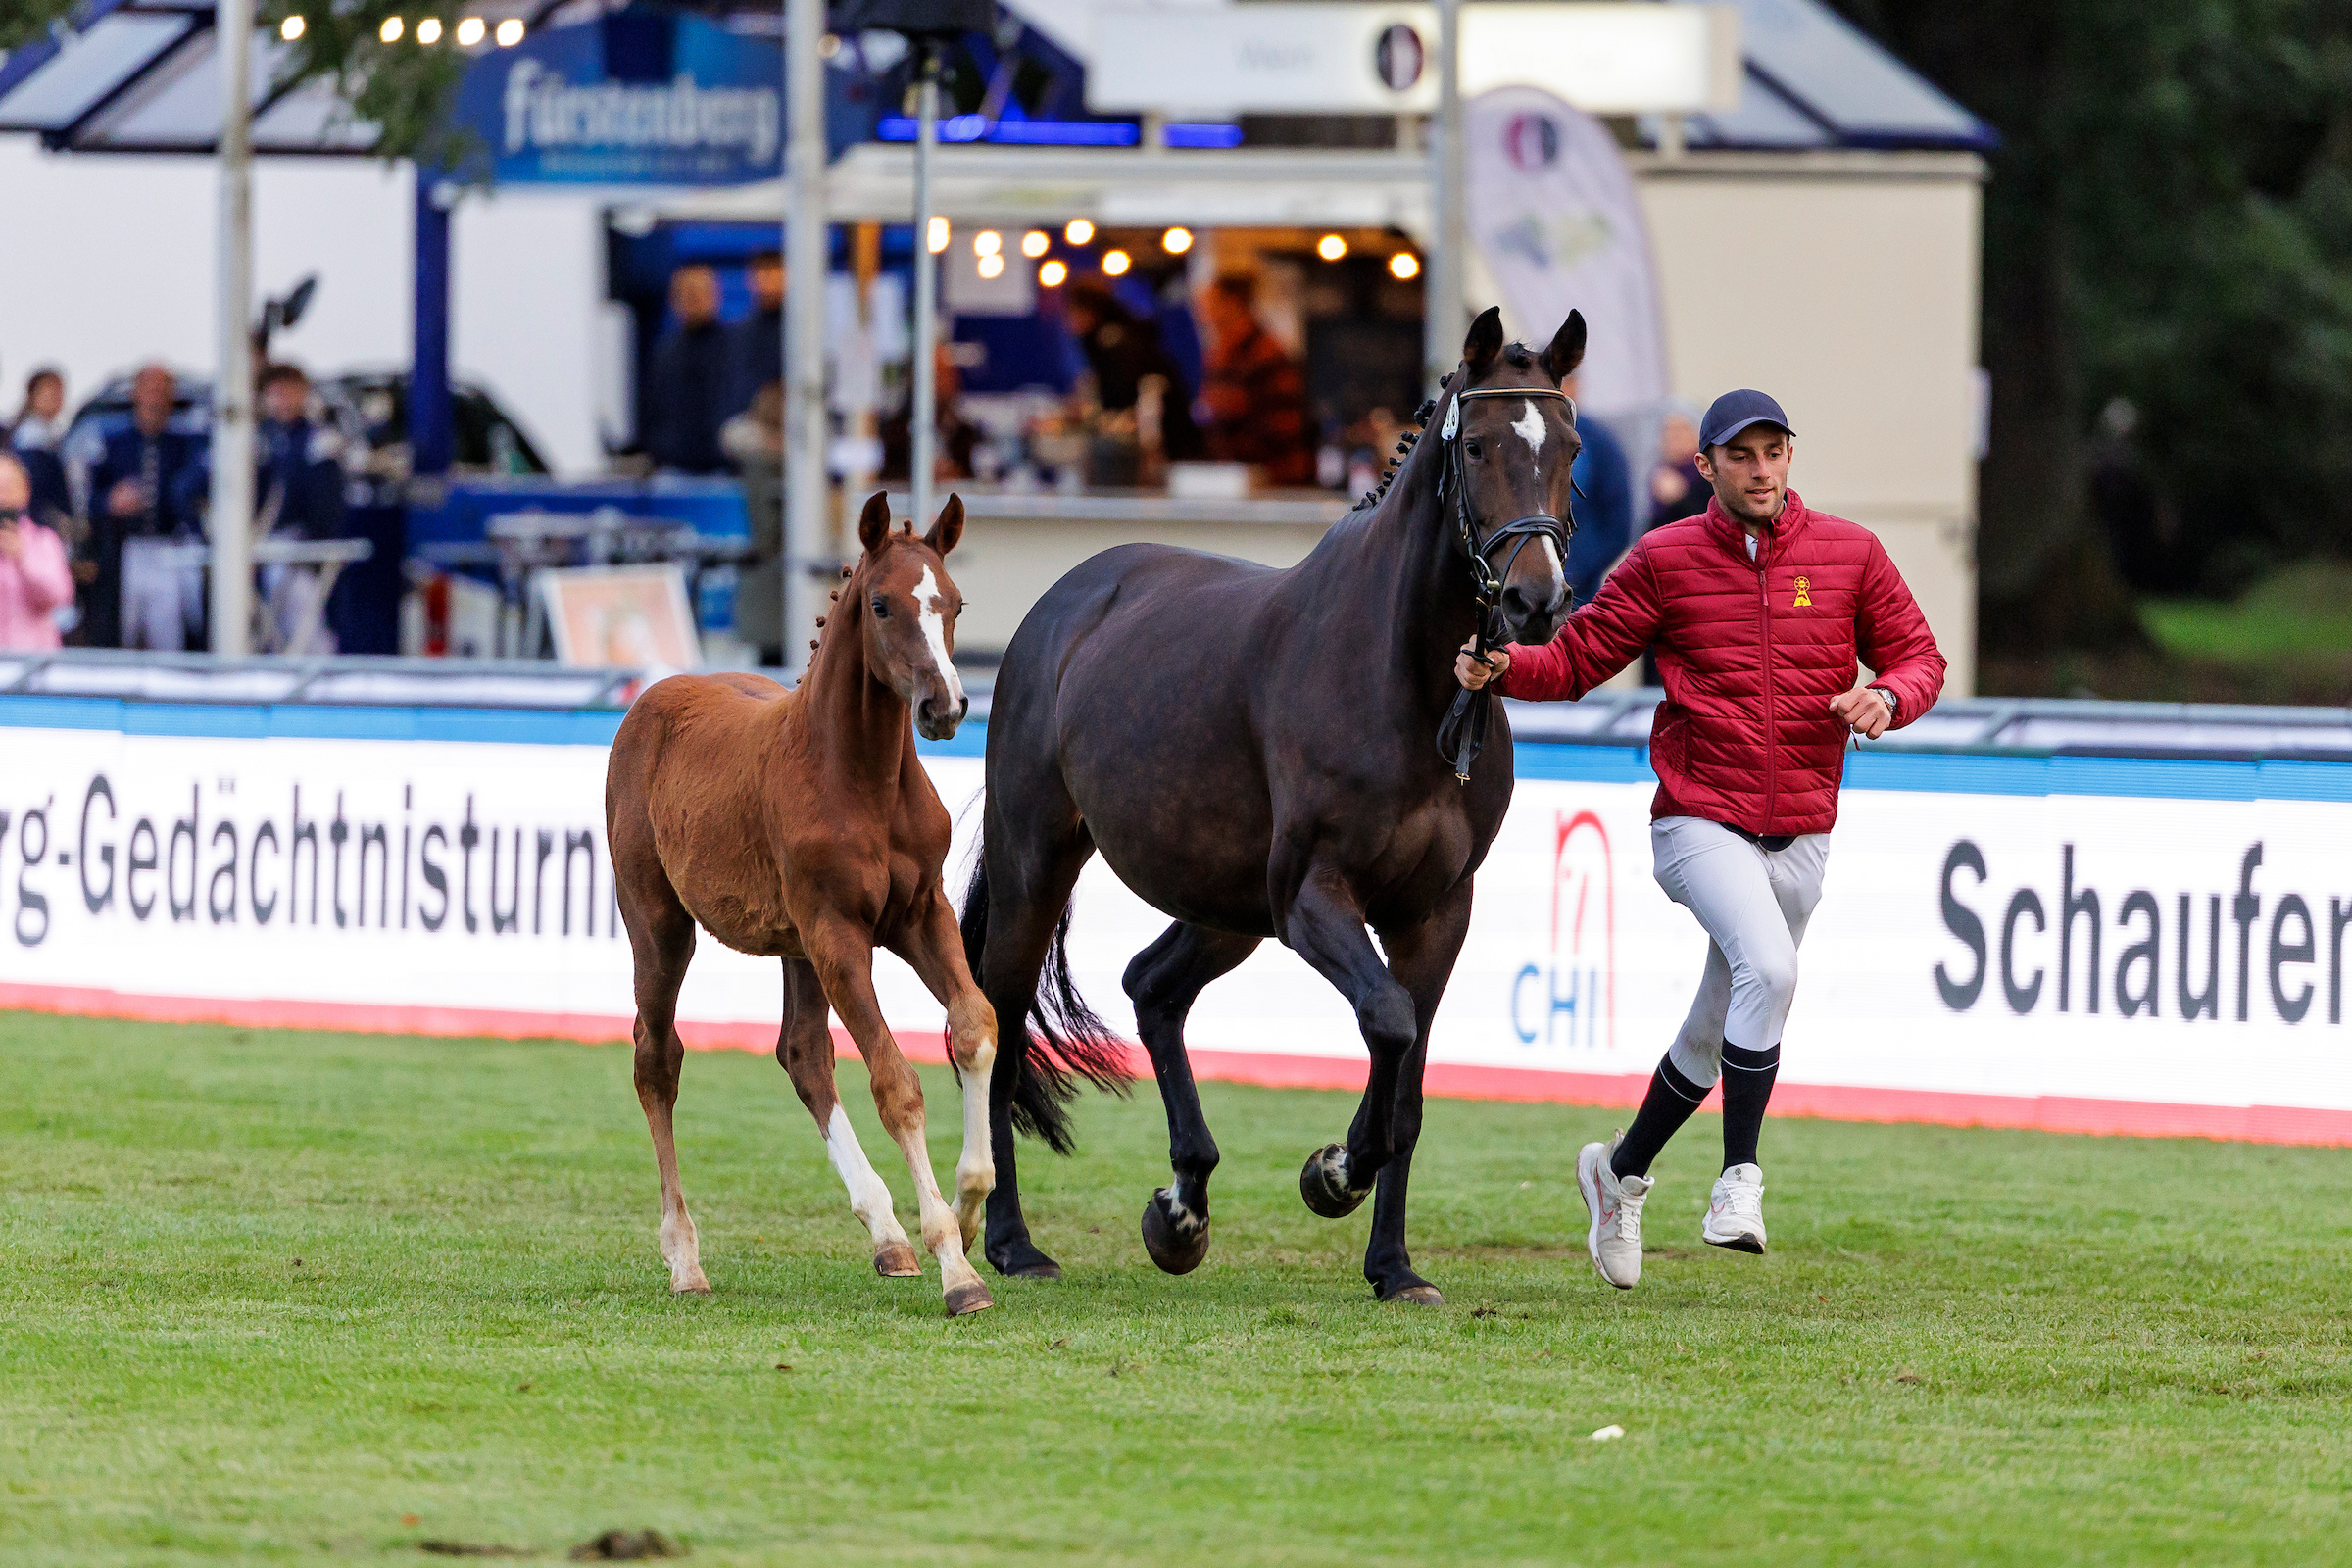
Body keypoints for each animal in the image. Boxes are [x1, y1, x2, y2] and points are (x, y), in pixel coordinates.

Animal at [602, 493, 997, 1316]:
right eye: (881, 605)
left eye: (954, 603)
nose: (945, 706)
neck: (860, 777)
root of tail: (652, 698)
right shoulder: (838, 933)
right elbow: (896, 1084)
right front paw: (957, 1267)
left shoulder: (921, 914)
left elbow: (975, 1027)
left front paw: (971, 1209)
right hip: (661, 924)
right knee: (657, 1058)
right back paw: (685, 1258)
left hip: (795, 947)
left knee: (803, 1054)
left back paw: (887, 1235)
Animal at [964, 305, 1590, 1298]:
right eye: (1480, 444)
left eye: (1568, 446)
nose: (1537, 599)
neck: (1403, 678)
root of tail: (1062, 606)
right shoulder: (1311, 897)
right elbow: (1388, 1020)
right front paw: (1333, 1171)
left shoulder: (1436, 911)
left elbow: (1409, 1080)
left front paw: (1393, 1265)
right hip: (1040, 864)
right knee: (1000, 1027)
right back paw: (1015, 1242)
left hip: (1226, 906)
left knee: (1152, 987)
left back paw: (1181, 1207)